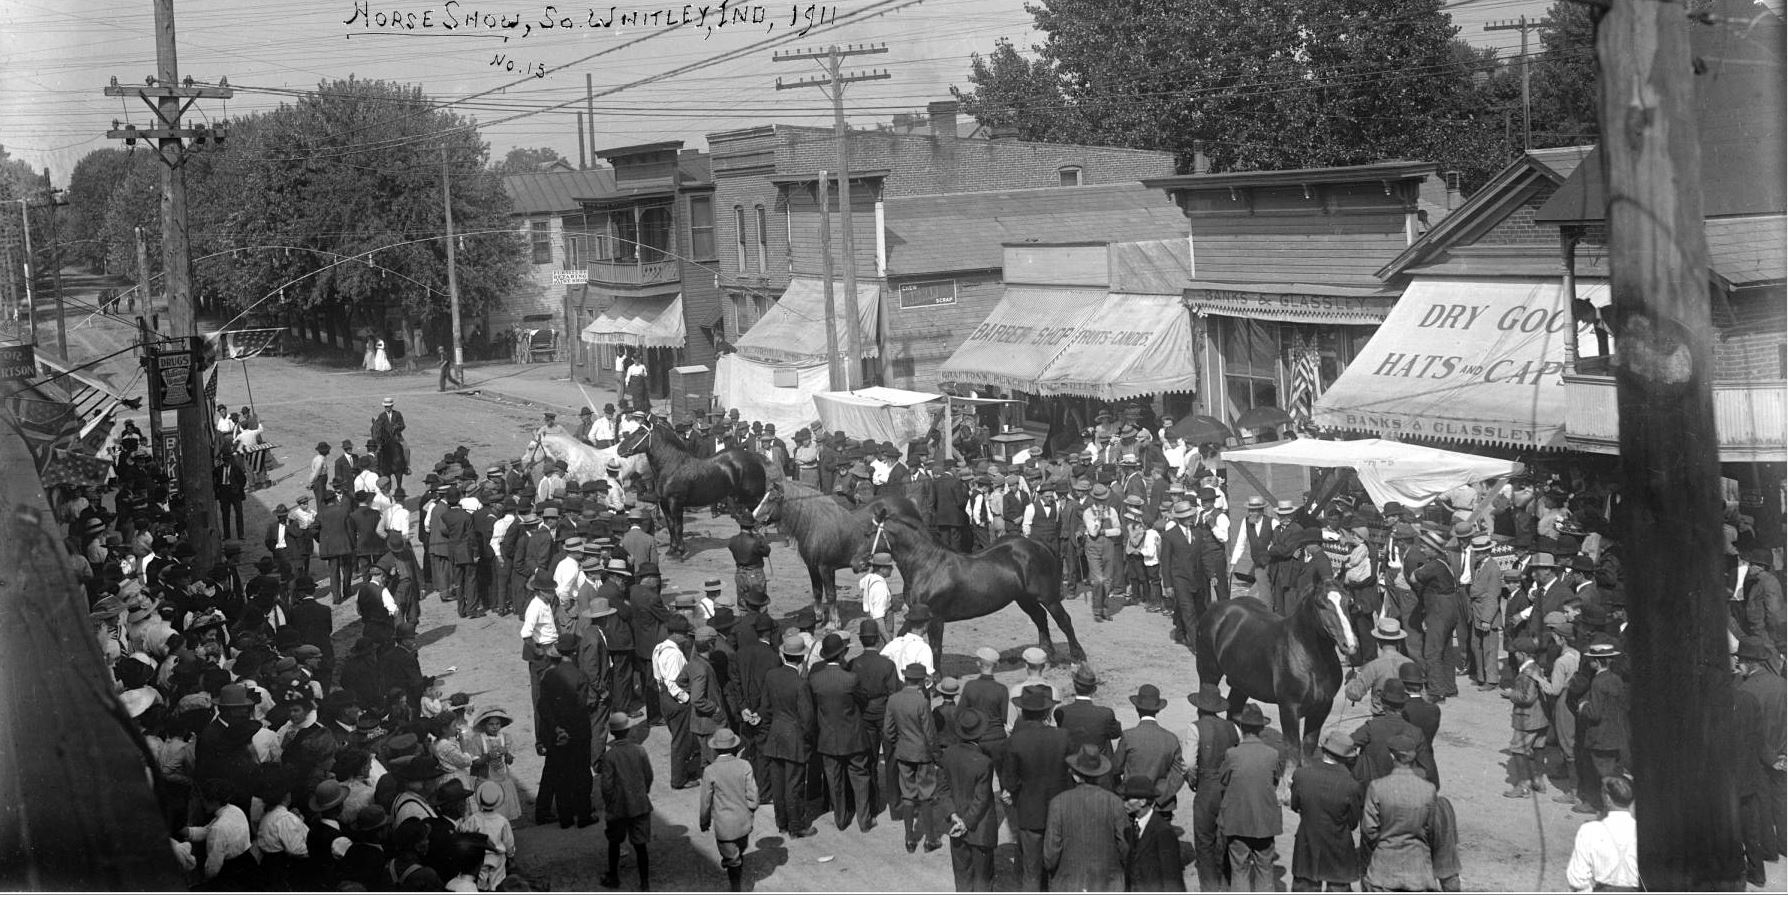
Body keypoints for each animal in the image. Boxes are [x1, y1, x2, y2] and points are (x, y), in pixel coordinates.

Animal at [615, 418, 768, 561]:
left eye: (641, 432)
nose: (619, 449)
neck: (671, 466)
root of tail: (756, 458)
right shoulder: (664, 503)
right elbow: (671, 526)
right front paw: (671, 550)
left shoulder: (676, 503)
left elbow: (678, 527)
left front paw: (681, 552)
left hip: (752, 497)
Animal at [750, 479, 929, 626]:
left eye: (772, 498)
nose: (753, 517)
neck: (815, 525)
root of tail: (911, 504)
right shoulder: (812, 567)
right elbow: (817, 592)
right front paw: (819, 619)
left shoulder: (826, 568)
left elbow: (831, 594)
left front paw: (833, 623)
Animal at [854, 511, 1087, 665]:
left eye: (869, 533)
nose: (856, 562)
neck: (928, 566)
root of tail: (1040, 545)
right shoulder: (916, 613)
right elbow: (902, 636)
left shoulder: (936, 618)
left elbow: (936, 648)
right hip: (1025, 599)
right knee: (1040, 619)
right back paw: (1045, 656)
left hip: (1049, 598)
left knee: (1064, 621)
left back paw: (1078, 657)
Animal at [1201, 579, 1351, 765]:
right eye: (1321, 604)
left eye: (1349, 602)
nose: (1349, 644)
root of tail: (1217, 607)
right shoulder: (1289, 708)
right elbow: (1293, 751)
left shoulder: (1322, 708)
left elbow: (1308, 748)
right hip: (1208, 673)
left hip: (1241, 685)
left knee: (1234, 712)